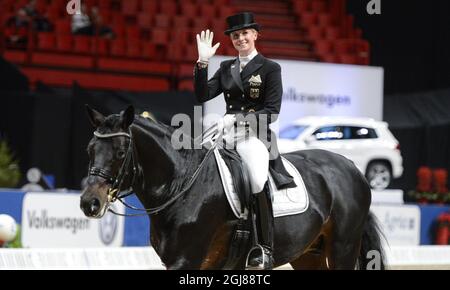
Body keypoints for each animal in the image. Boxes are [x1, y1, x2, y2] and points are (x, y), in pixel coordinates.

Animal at [80, 106, 384, 270]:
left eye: (120, 152)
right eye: (90, 150)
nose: (89, 203)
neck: (181, 184)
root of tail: (351, 166)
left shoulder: (186, 260)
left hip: (343, 247)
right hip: (310, 252)